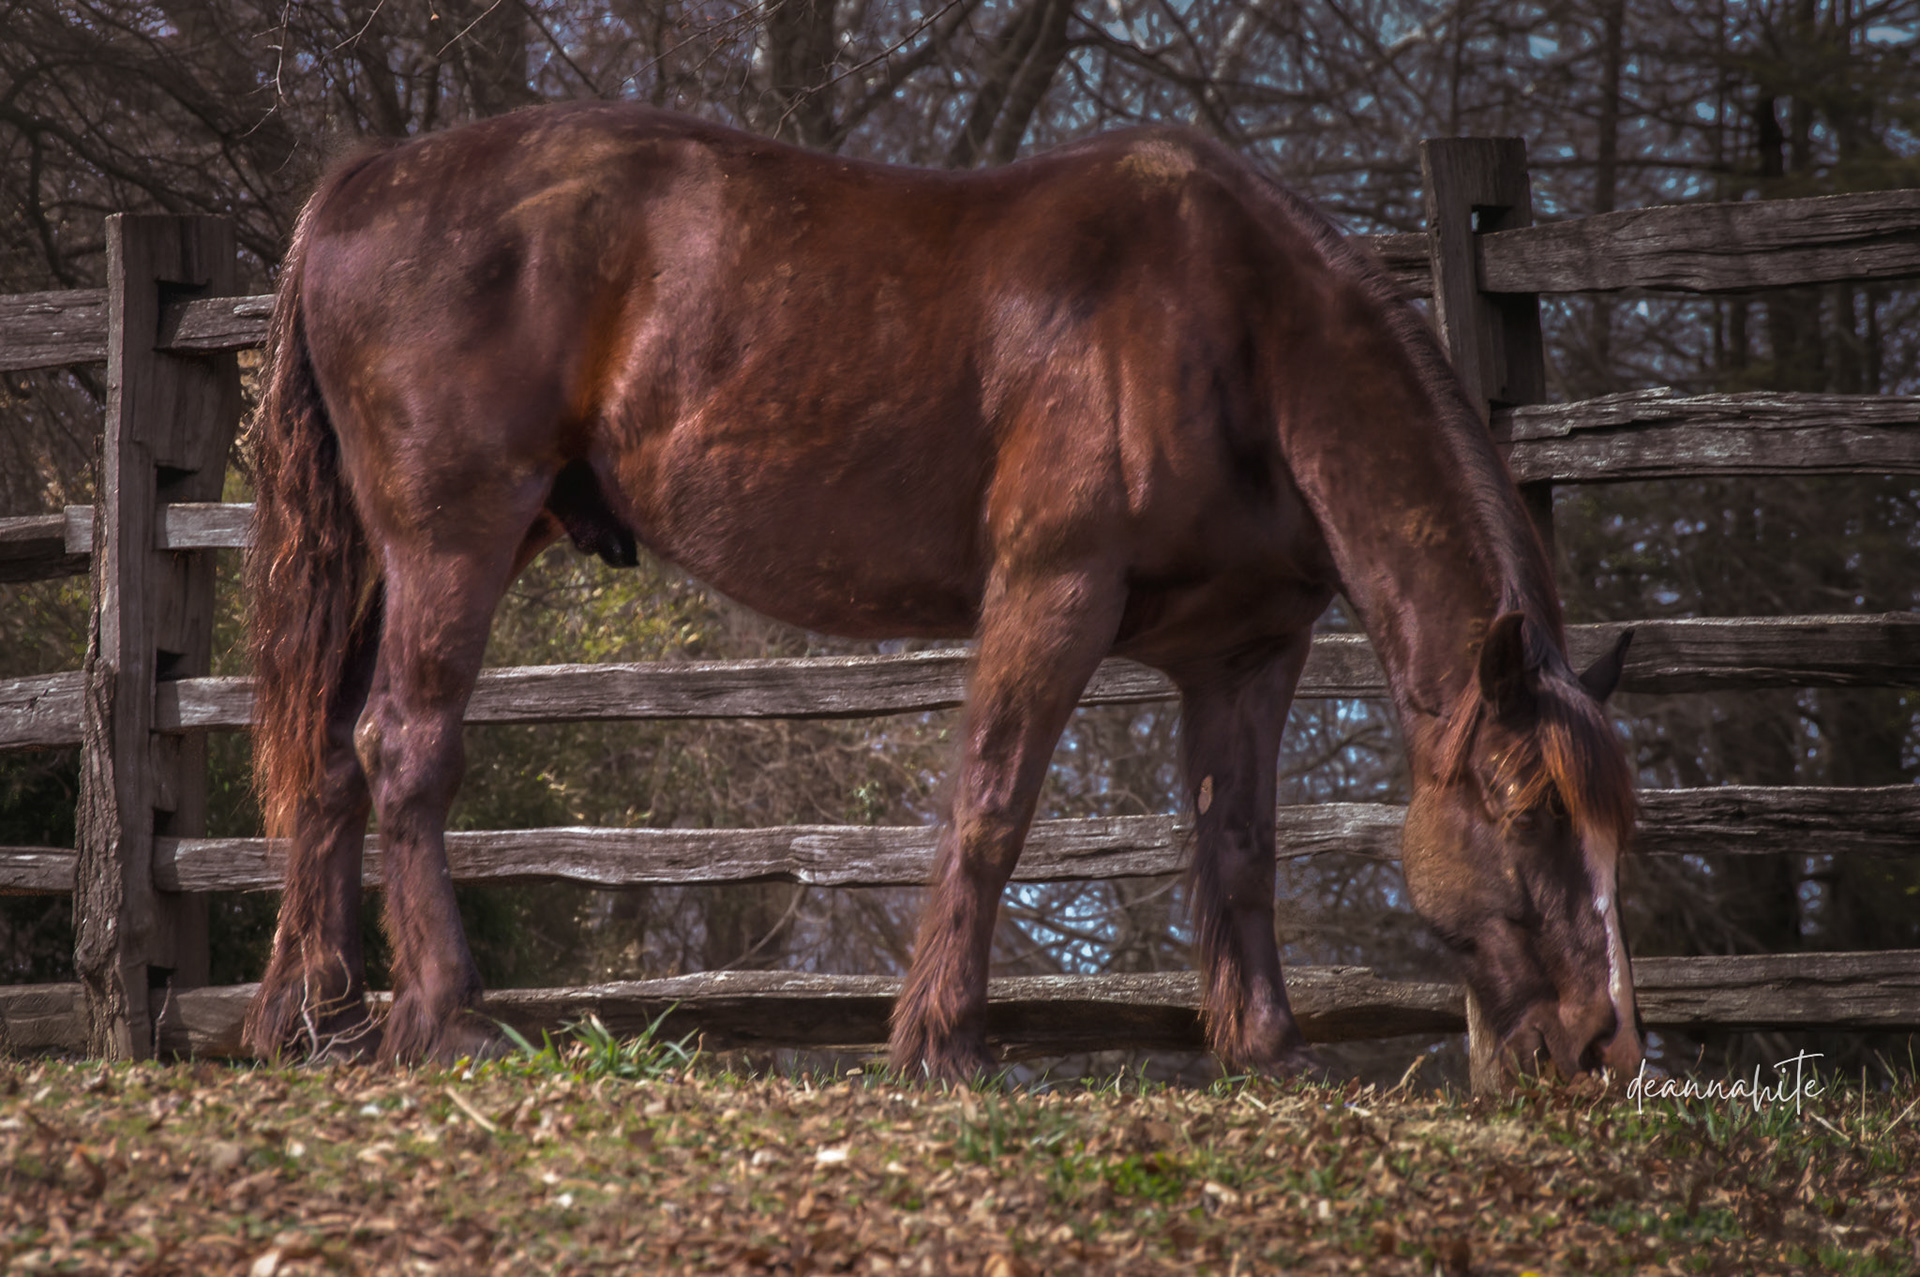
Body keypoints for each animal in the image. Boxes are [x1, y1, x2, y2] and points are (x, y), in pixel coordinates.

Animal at [243, 102, 1641, 1082]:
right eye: (1525, 810)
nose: (1601, 1047)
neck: (1237, 332)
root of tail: (365, 179)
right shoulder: (1052, 594)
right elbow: (992, 807)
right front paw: (944, 1042)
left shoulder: (1247, 653)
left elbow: (1236, 841)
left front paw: (1268, 1050)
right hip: (455, 541)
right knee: (404, 745)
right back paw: (443, 1017)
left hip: (402, 558)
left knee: (331, 751)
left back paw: (312, 1015)